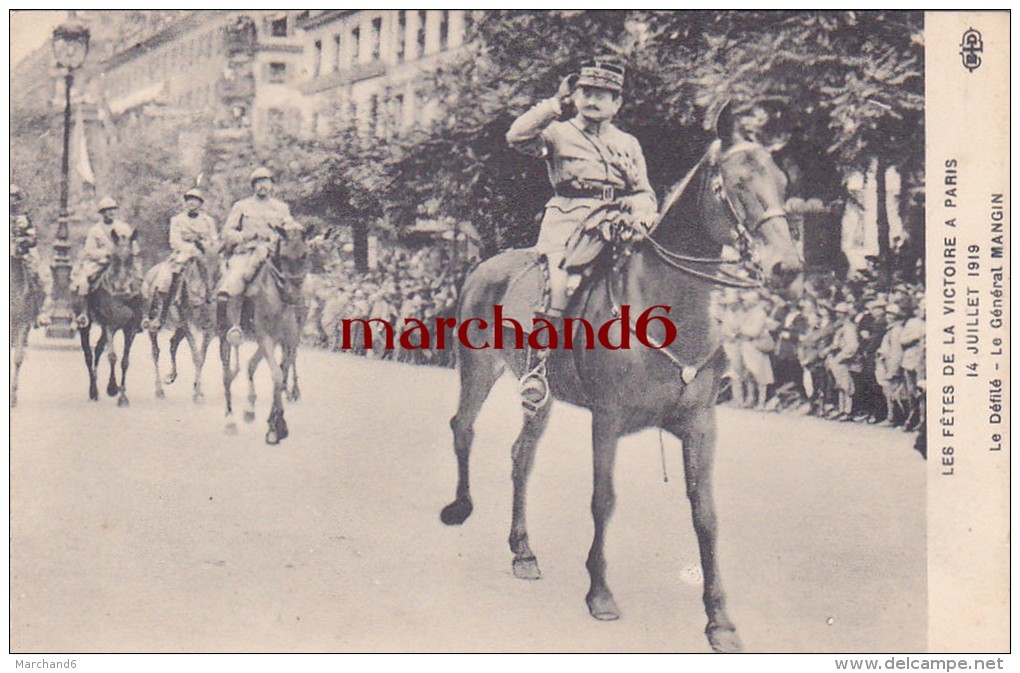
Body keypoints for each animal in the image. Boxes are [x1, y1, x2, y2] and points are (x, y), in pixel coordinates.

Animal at [75, 228, 145, 405]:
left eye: (131, 257)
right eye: (114, 257)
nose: (122, 288)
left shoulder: (130, 328)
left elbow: (125, 361)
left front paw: (123, 396)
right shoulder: (110, 325)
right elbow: (112, 356)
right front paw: (112, 388)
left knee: (99, 349)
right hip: (85, 325)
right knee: (88, 353)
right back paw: (93, 391)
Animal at [219, 228, 306, 444]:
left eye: (304, 255)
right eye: (283, 256)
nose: (294, 295)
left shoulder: (288, 342)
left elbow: (281, 374)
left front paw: (274, 423)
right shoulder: (266, 338)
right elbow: (276, 375)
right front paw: (276, 427)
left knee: (250, 365)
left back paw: (249, 409)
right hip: (224, 338)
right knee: (227, 377)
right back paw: (230, 421)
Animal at [442, 106, 799, 652]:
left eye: (781, 181)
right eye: (737, 182)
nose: (787, 266)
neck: (669, 304)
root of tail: (486, 263)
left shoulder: (700, 424)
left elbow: (706, 514)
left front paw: (719, 620)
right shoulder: (606, 420)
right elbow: (604, 500)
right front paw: (600, 593)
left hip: (540, 395)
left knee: (521, 456)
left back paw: (523, 551)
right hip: (478, 366)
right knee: (463, 427)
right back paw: (461, 507)